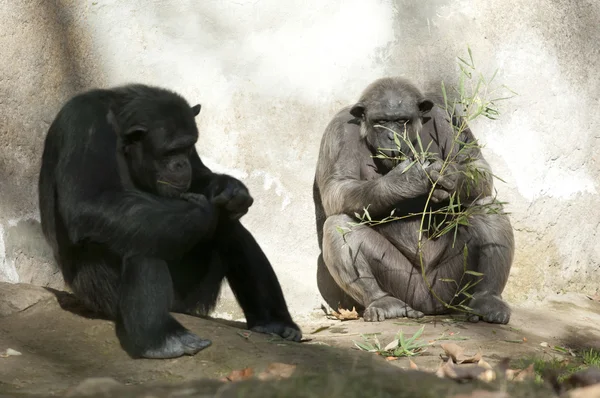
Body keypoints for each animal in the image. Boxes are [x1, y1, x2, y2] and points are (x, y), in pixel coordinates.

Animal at [39, 82, 302, 360]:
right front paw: (204, 212)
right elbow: (89, 201)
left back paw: (275, 323)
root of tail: (178, 308)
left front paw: (230, 189)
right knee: (142, 240)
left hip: (193, 297)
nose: (181, 163)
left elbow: (201, 176)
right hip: (101, 295)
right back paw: (162, 338)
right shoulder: (84, 123)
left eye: (187, 147)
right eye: (171, 151)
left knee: (232, 231)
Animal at [312, 77, 512, 324]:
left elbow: (477, 166)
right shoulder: (339, 131)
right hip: (403, 283)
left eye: (401, 121)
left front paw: (448, 177)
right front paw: (406, 180)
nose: (392, 136)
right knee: (339, 225)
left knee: (487, 206)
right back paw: (384, 303)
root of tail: (429, 306)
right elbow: (337, 187)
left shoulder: (449, 118)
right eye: (381, 122)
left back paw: (487, 300)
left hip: (451, 285)